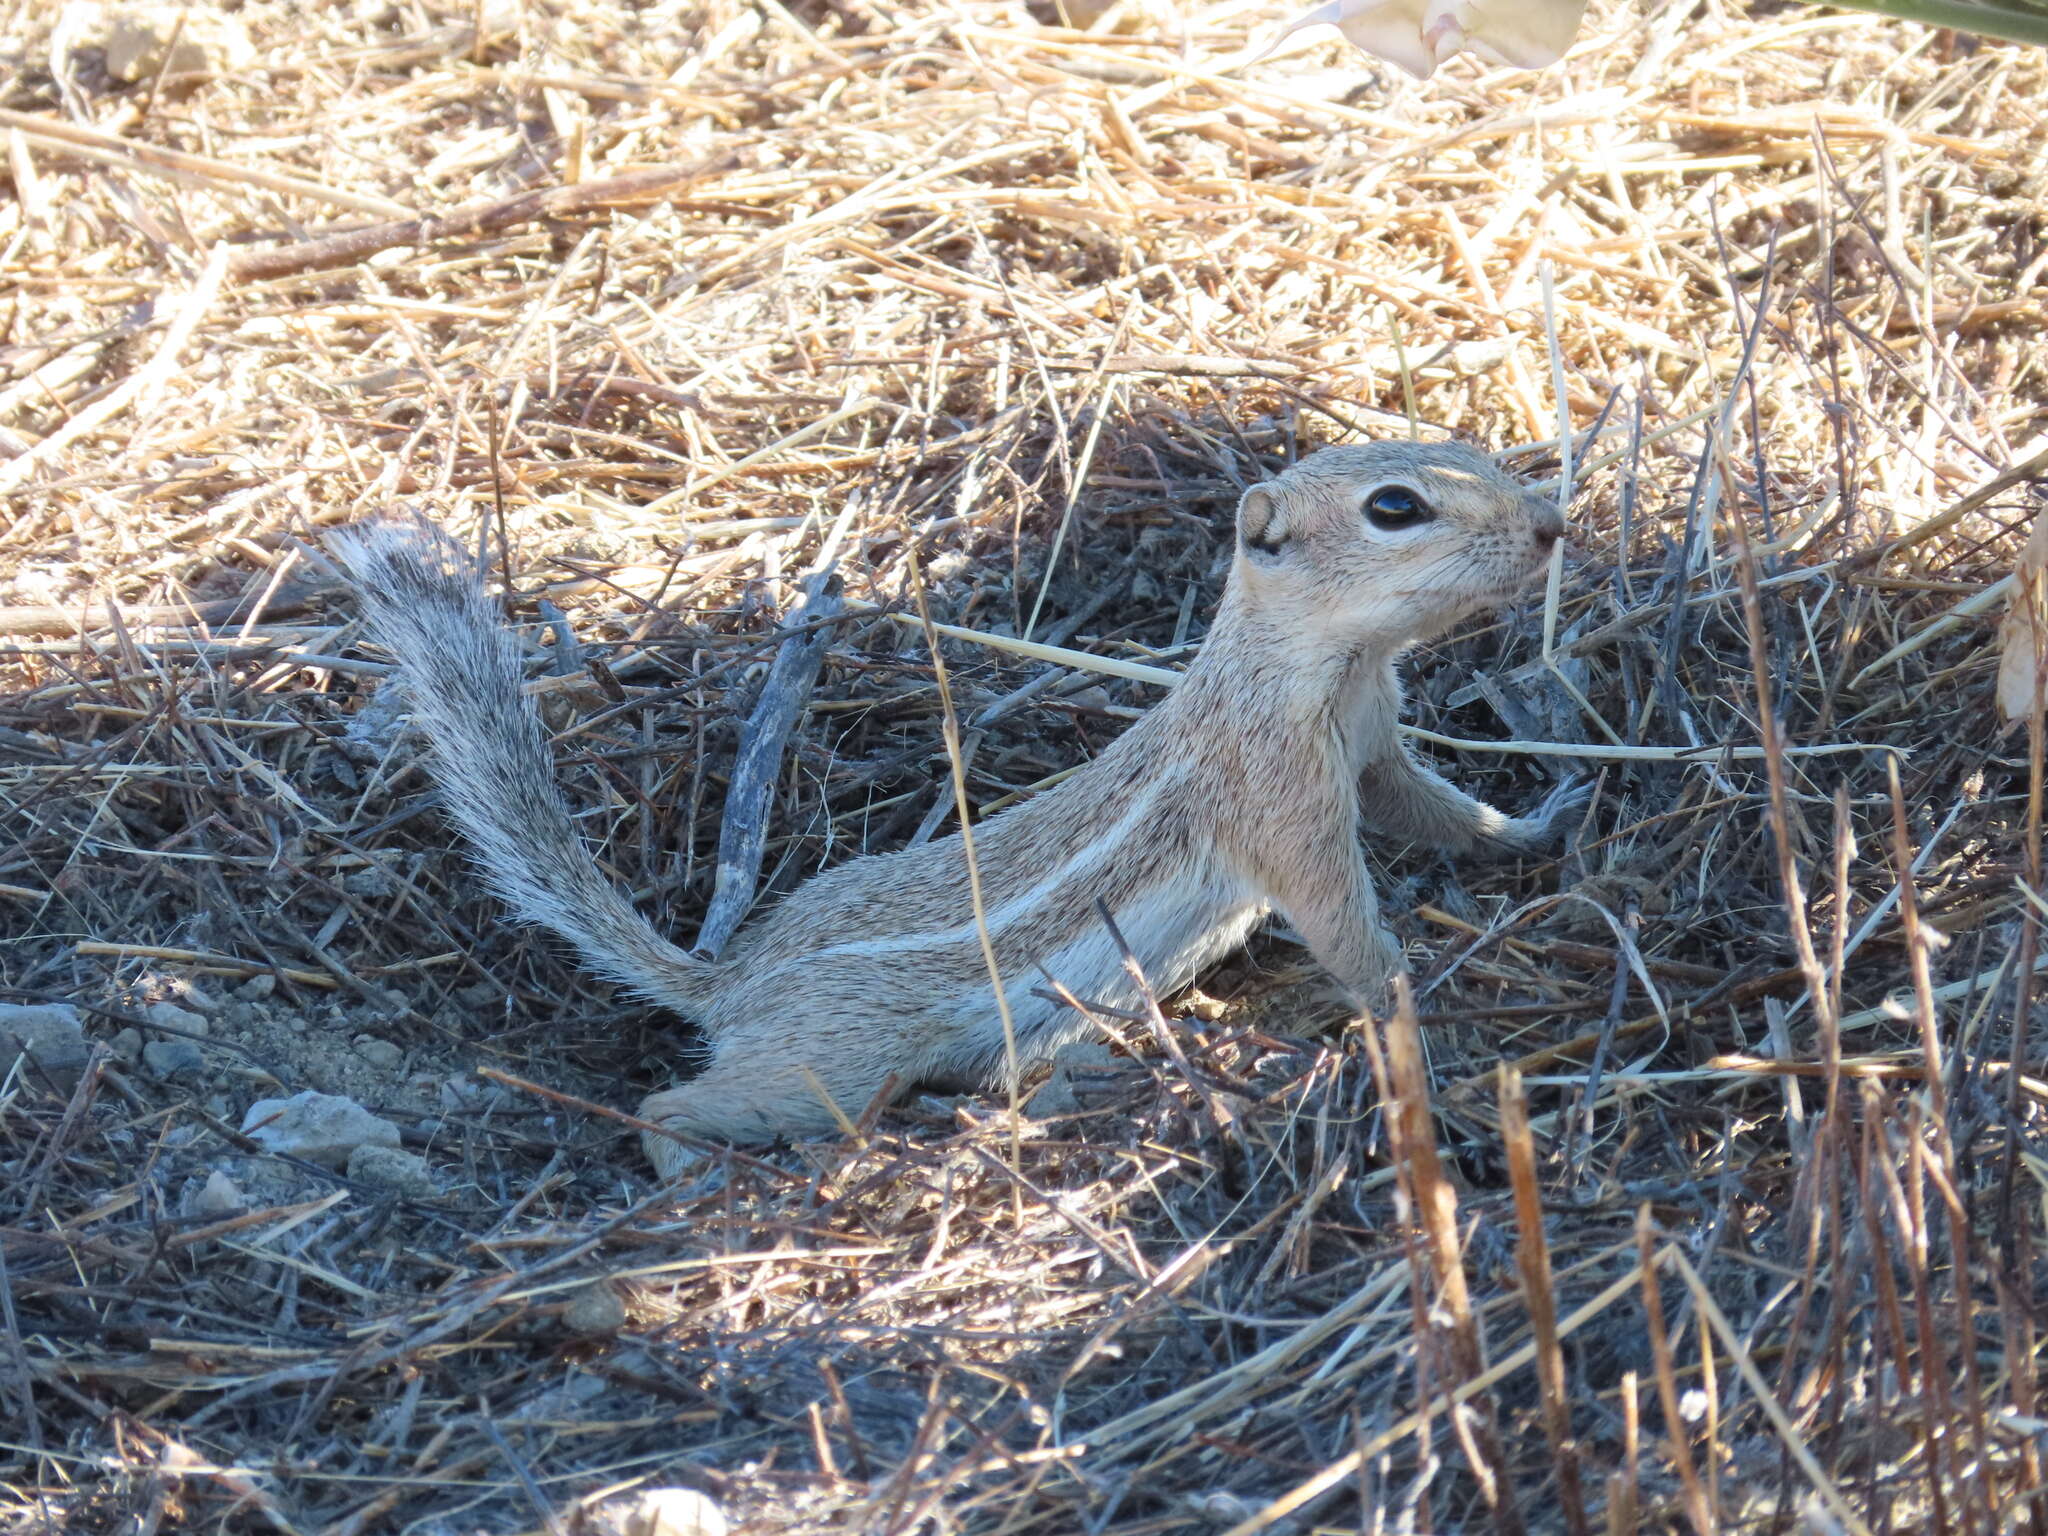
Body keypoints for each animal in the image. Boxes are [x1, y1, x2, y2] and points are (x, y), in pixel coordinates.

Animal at [335, 442, 1581, 1179]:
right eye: (1393, 508)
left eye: (1466, 453)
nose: (1549, 527)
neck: (1319, 668)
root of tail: (728, 981)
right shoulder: (1278, 794)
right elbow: (1333, 913)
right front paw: (1405, 996)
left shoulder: (1373, 747)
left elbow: (1434, 810)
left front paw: (1536, 824)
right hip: (824, 1067)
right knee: (675, 1103)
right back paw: (693, 1167)